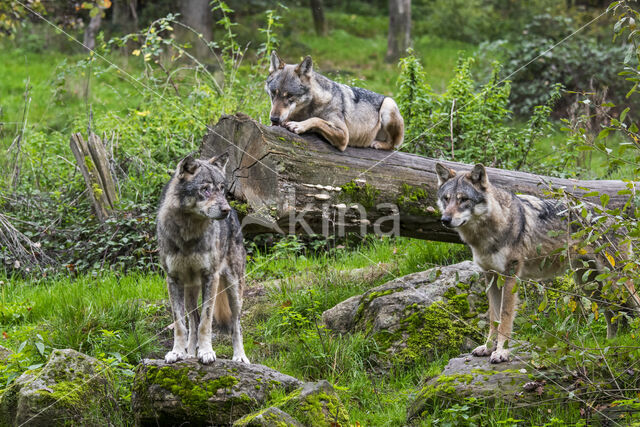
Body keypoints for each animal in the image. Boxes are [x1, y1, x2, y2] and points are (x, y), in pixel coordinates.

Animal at [158, 153, 250, 364]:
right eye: (205, 189)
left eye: (222, 188)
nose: (225, 209)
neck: (188, 232)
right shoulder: (173, 280)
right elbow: (180, 324)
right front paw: (177, 352)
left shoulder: (210, 277)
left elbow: (206, 322)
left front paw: (207, 352)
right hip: (189, 291)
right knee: (193, 322)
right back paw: (190, 353)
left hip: (234, 288)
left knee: (236, 324)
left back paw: (239, 357)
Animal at [266, 50, 404, 152]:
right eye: (273, 94)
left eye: (289, 96)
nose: (274, 119)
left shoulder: (344, 135)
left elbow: (317, 120)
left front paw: (298, 125)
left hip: (388, 104)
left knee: (393, 146)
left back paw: (378, 144)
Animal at [436, 163, 640, 364]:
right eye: (446, 199)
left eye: (463, 199)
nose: (445, 220)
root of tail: (617, 218)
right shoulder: (491, 277)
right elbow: (494, 318)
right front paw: (487, 348)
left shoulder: (510, 276)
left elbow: (505, 318)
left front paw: (501, 352)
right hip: (589, 285)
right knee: (611, 313)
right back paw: (609, 346)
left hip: (617, 282)